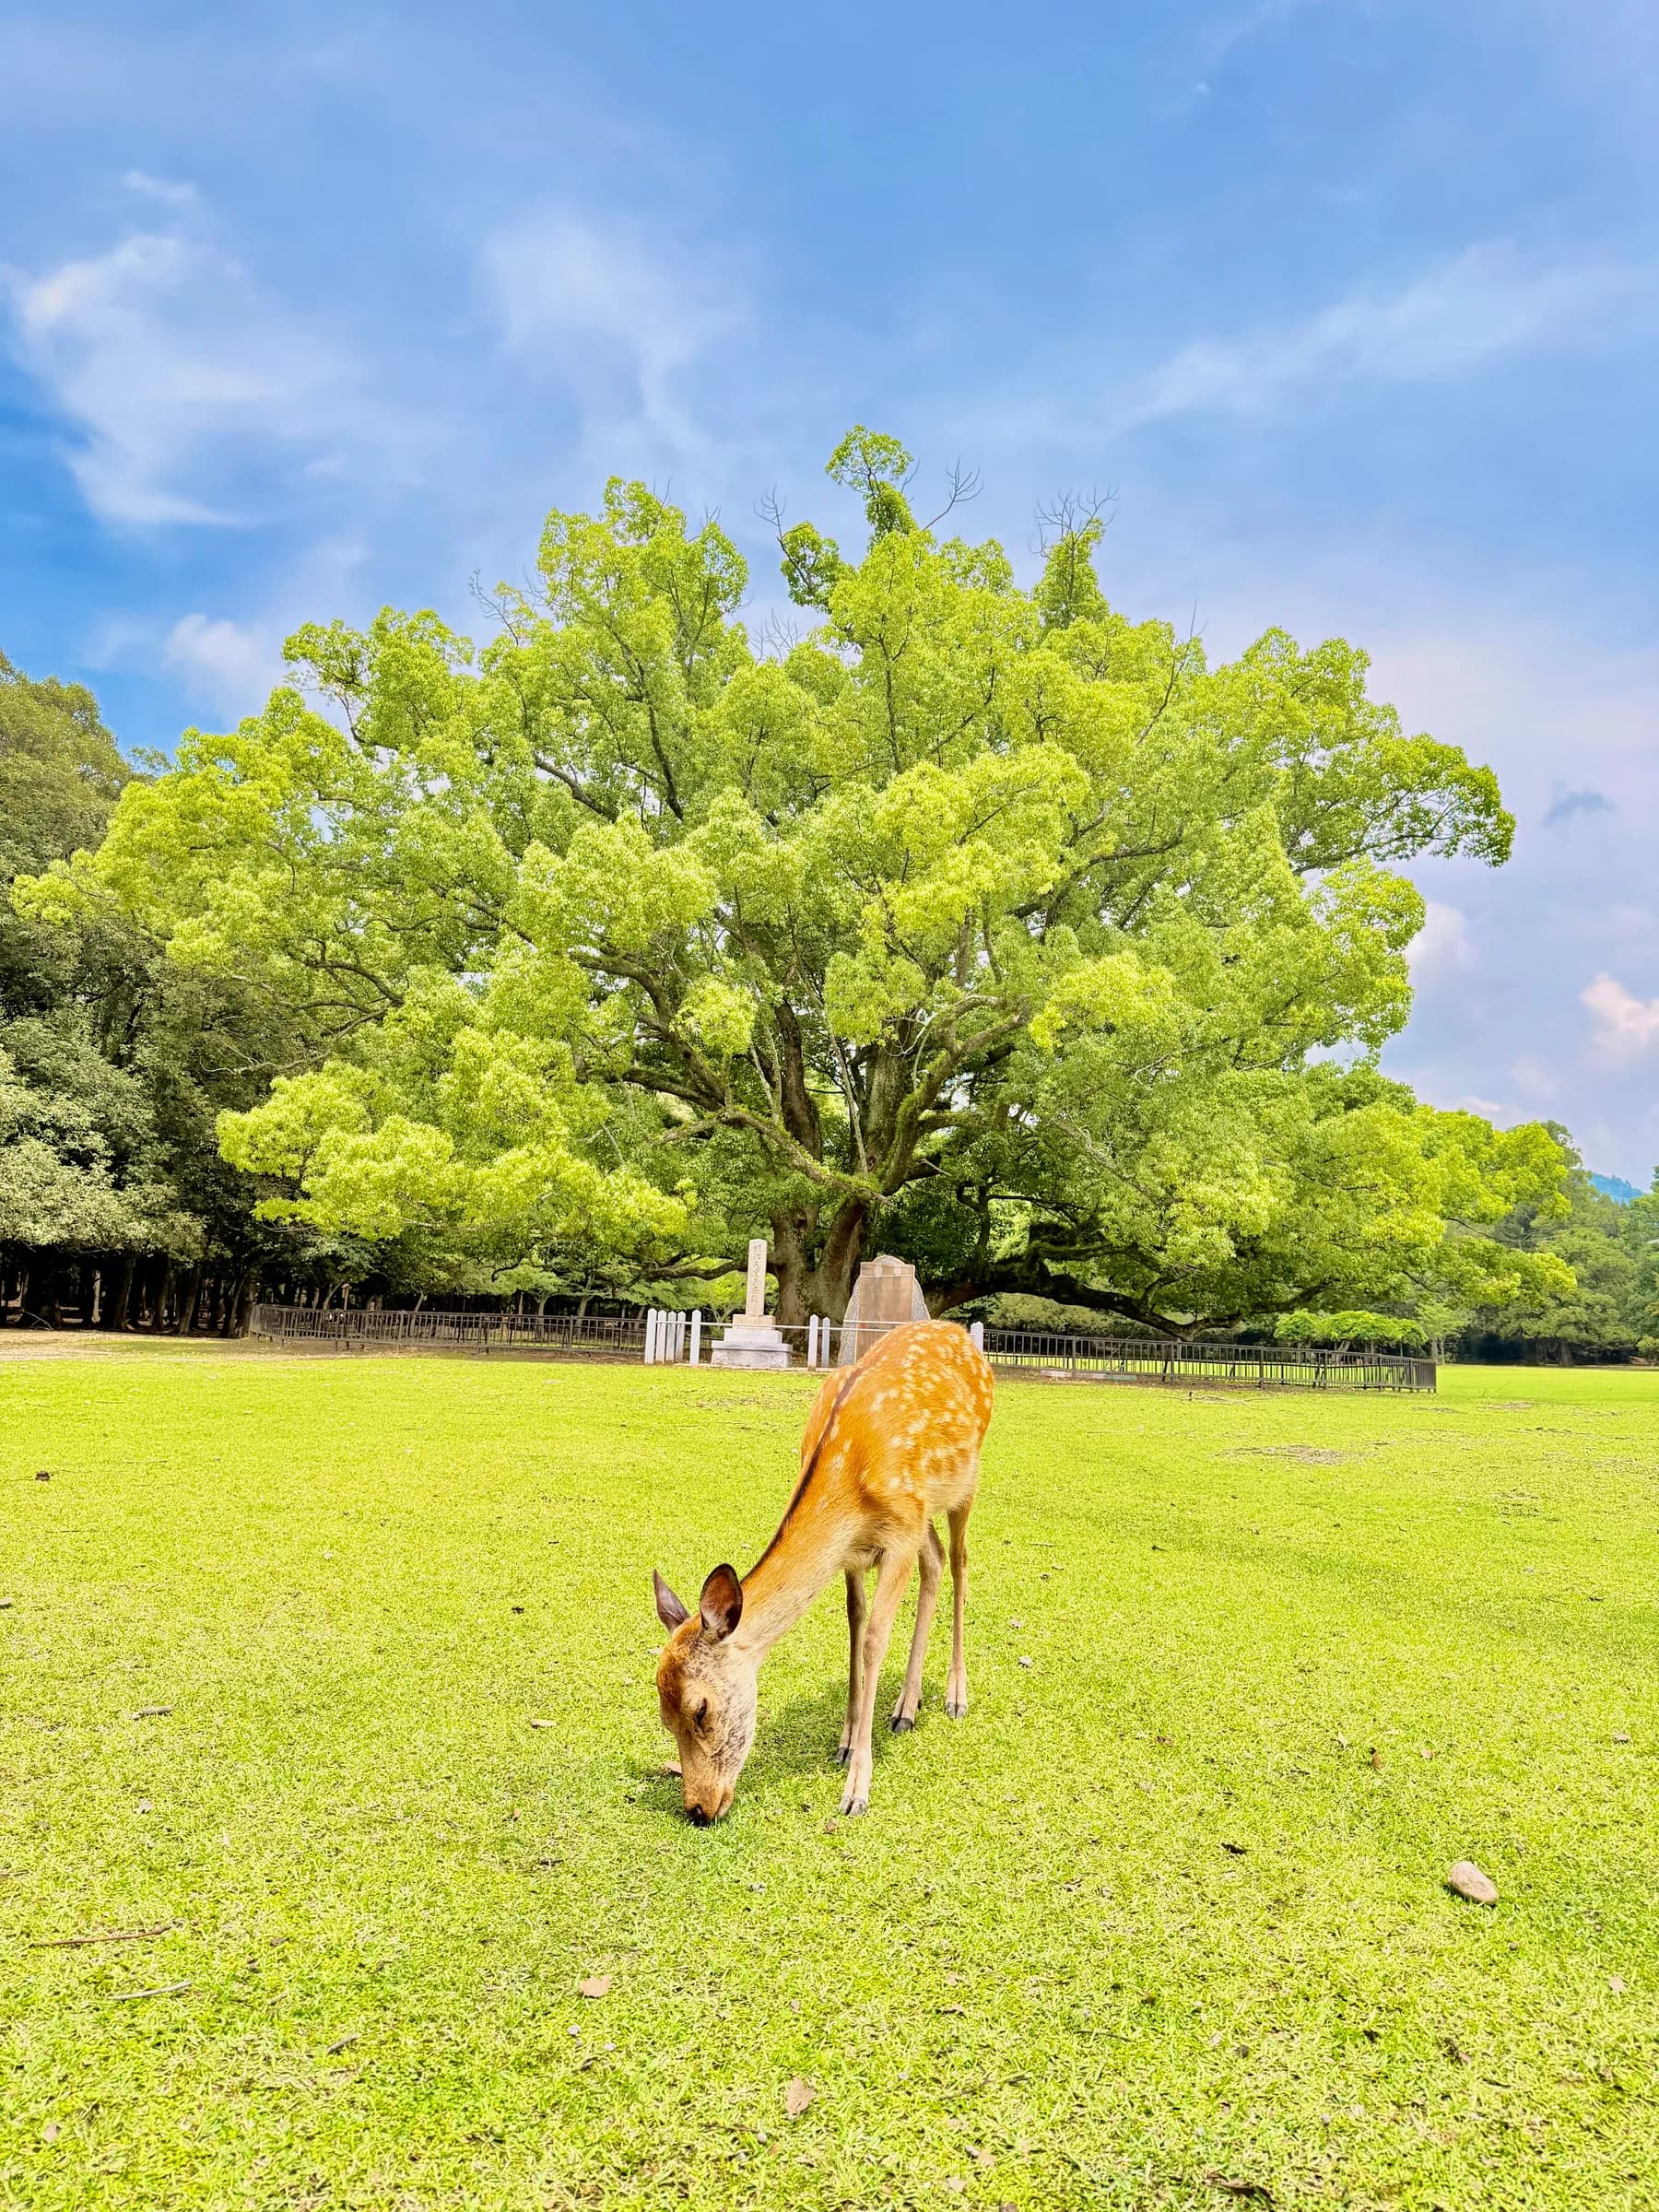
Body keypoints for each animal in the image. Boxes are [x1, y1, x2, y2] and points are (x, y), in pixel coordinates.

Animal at [652, 1319, 994, 1822]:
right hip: (924, 1512)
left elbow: (874, 1641)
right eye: (663, 1715)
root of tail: (957, 1332)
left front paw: (856, 1790)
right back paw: (905, 1708)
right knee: (934, 1561)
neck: (848, 1485)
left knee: (960, 1565)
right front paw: (845, 1744)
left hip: (964, 1484)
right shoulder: (851, 1553)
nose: (698, 1808)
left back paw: (954, 1696)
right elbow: (854, 1625)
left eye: (701, 1709)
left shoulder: (898, 1536)